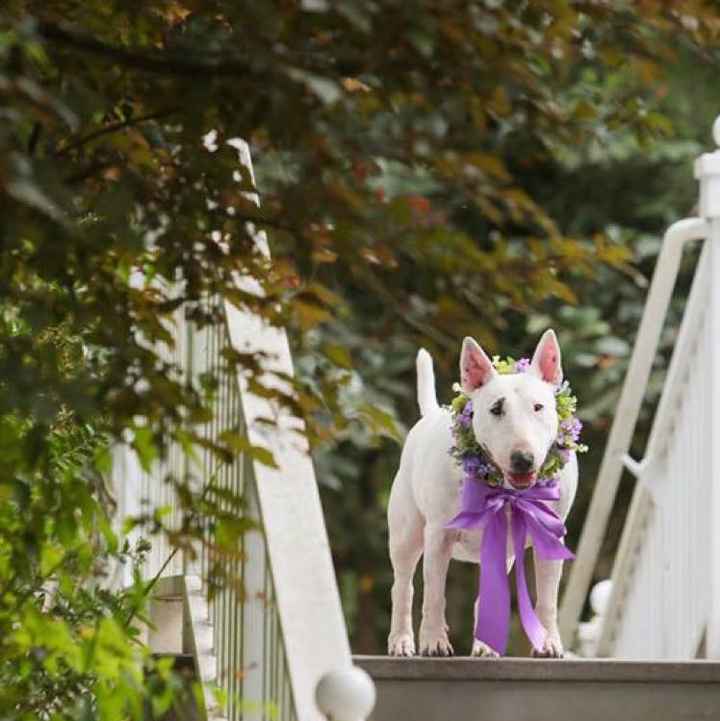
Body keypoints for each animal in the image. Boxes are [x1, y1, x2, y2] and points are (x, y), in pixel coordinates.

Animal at [388, 332, 580, 660]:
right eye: (496, 409)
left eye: (539, 407)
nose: (523, 459)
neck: (506, 489)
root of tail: (431, 414)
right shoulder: (438, 534)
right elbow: (434, 593)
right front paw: (434, 642)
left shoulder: (550, 536)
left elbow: (548, 596)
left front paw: (549, 643)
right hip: (407, 532)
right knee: (403, 585)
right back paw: (401, 641)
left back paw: (485, 646)